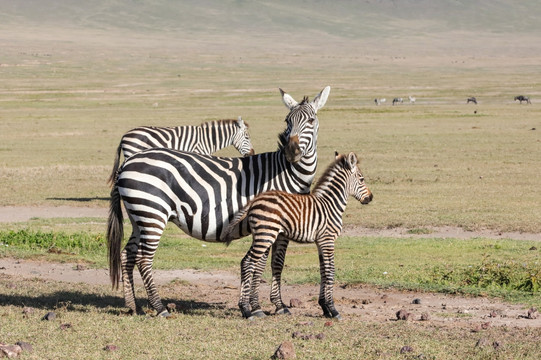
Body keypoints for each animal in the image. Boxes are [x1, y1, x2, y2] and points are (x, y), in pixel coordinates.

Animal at [109, 117, 255, 186]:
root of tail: (124, 136)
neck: (206, 139)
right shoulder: (197, 152)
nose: (252, 153)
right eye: (247, 137)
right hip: (131, 153)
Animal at [223, 150, 372, 320]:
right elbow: (330, 271)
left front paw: (324, 307)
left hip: (261, 235)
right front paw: (333, 309)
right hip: (266, 235)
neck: (331, 204)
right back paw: (246, 310)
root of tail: (255, 200)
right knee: (248, 262)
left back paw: (246, 309)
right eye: (361, 179)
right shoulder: (327, 240)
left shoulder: (320, 242)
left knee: (245, 261)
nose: (371, 197)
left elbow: (323, 271)